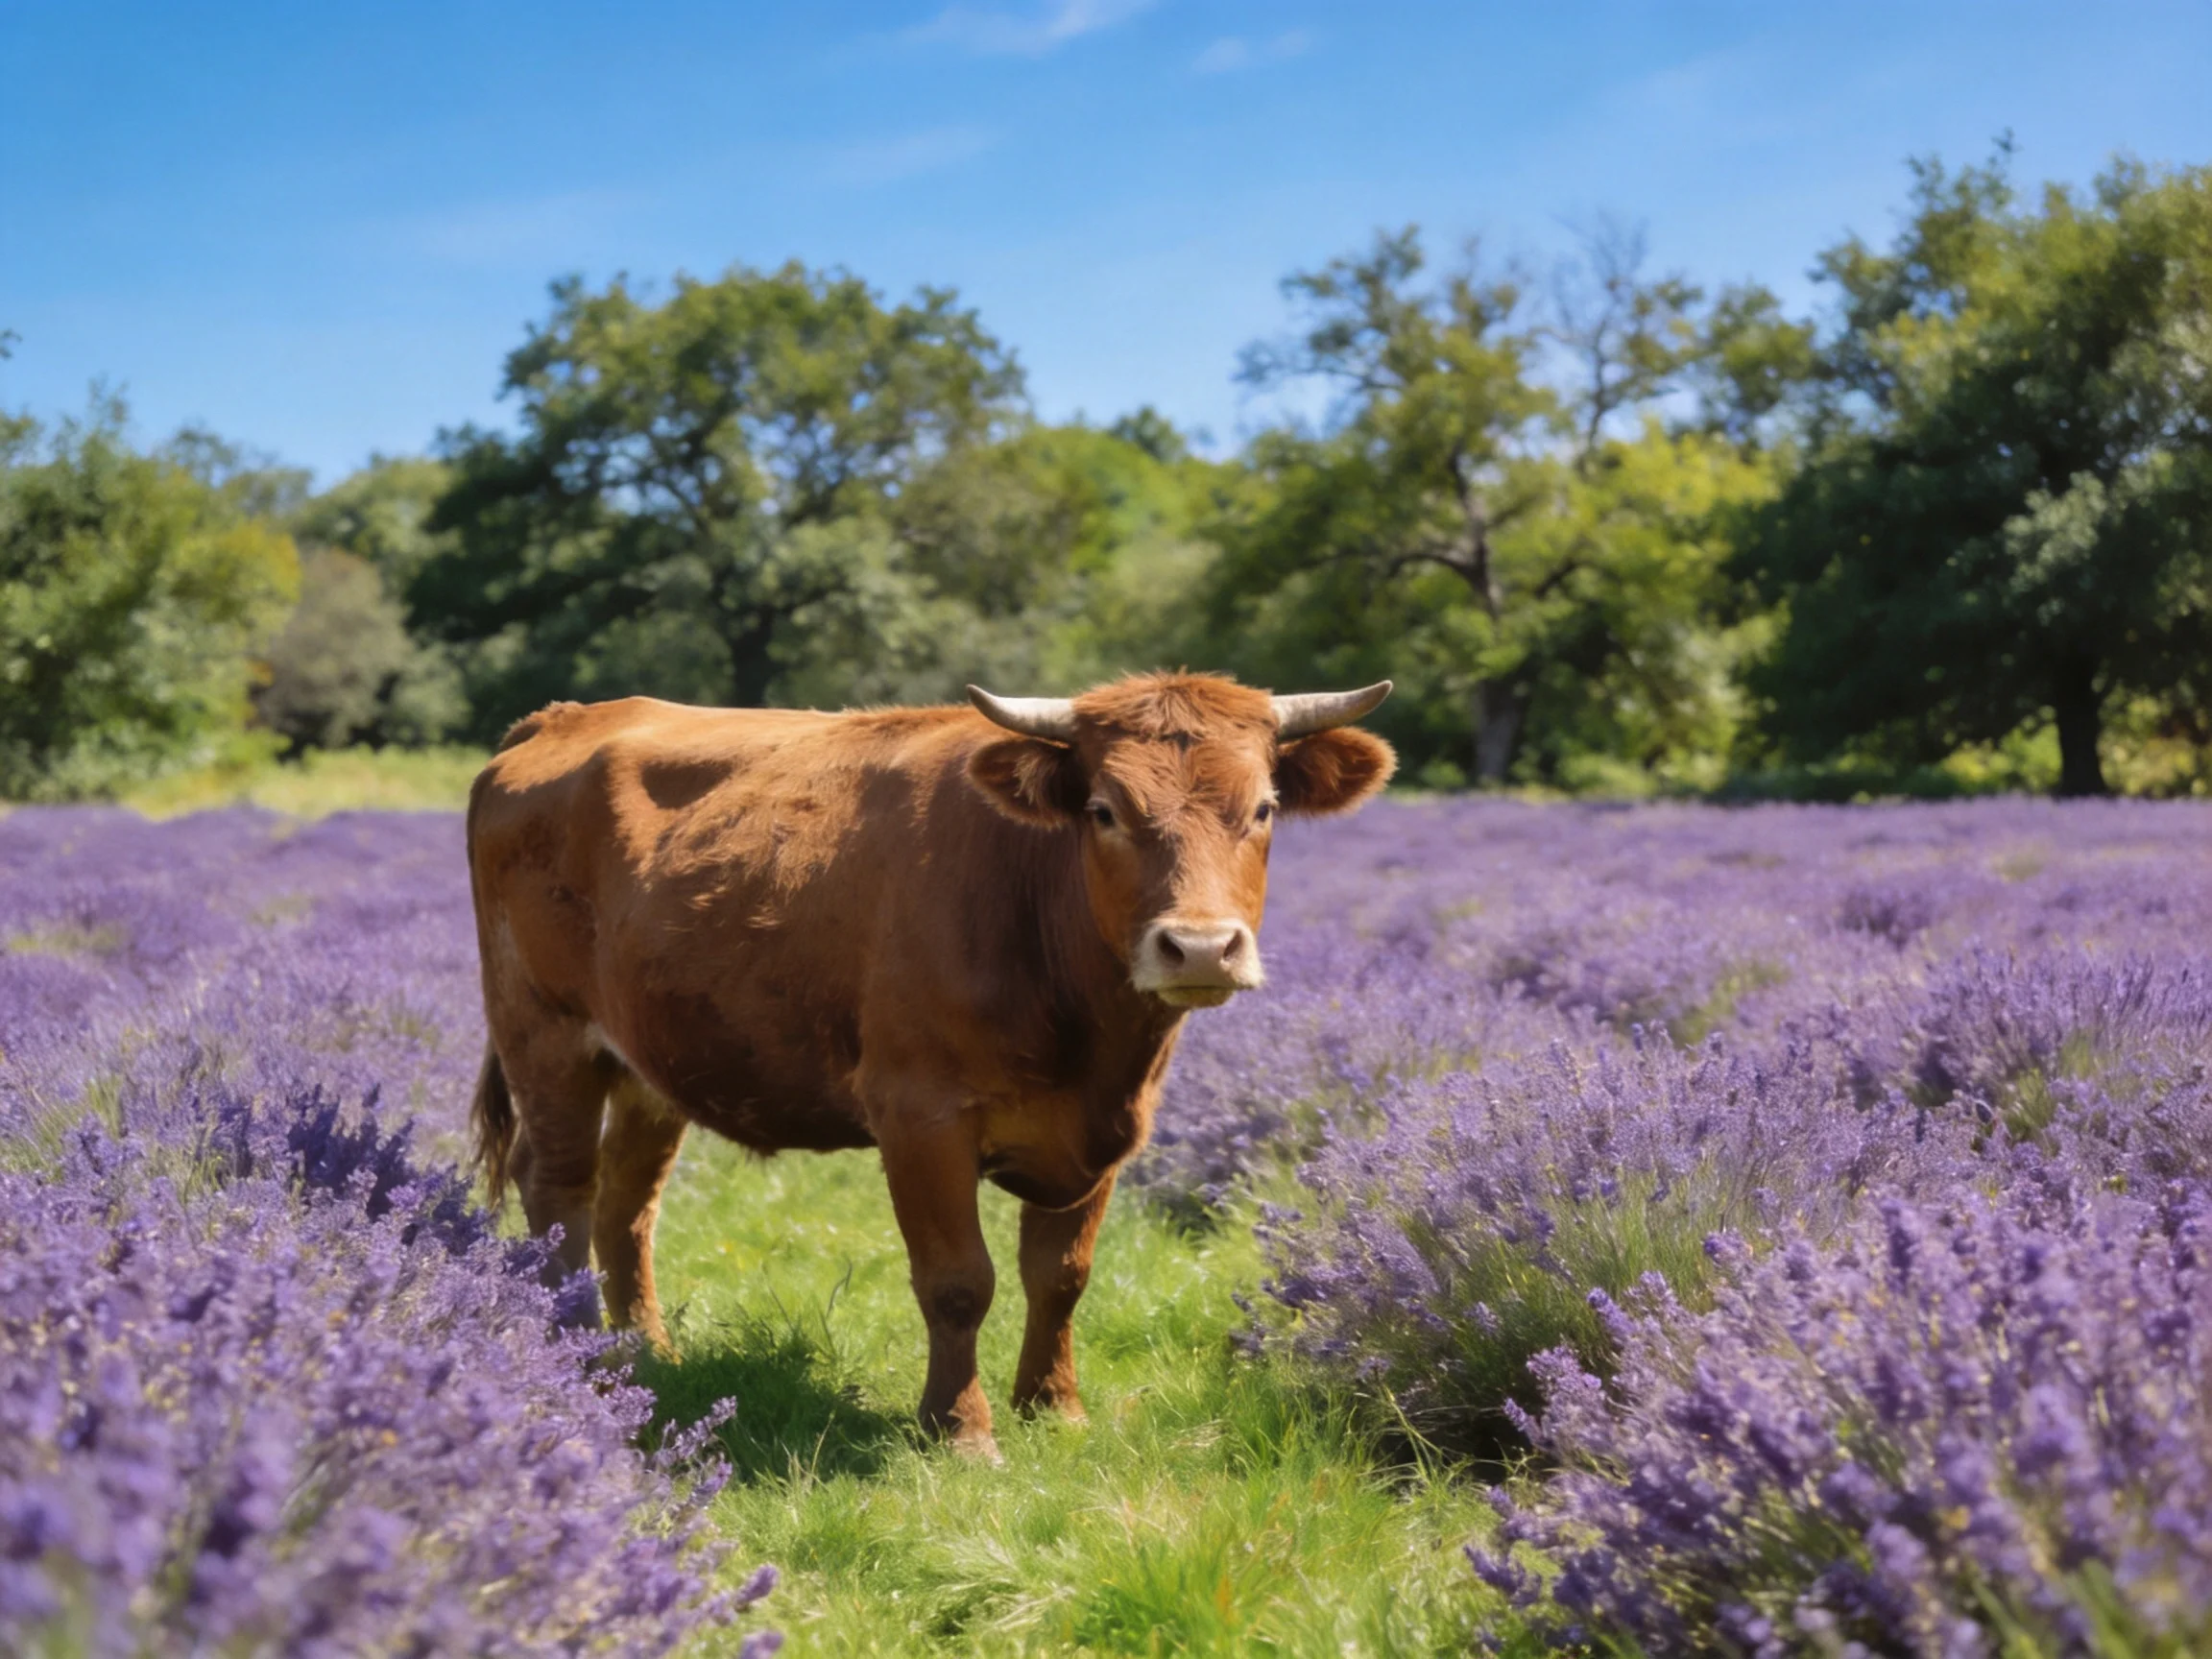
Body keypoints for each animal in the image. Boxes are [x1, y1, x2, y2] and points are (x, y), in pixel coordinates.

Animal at [466, 671, 1395, 1457]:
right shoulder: (919, 1116)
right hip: (545, 1035)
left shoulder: (1102, 1131)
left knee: (627, 1202)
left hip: (652, 1062)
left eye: (1264, 808)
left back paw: (645, 1348)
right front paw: (961, 1429)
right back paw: (574, 1349)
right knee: (559, 1188)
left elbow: (1061, 1277)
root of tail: (564, 718)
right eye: (1104, 810)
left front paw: (1053, 1410)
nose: (1200, 947)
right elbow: (958, 1281)